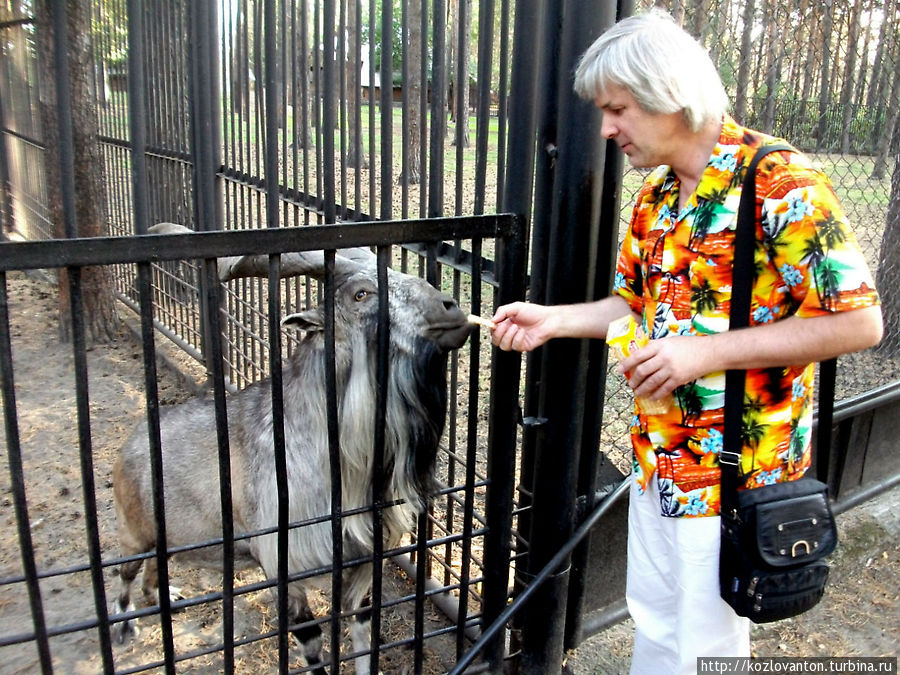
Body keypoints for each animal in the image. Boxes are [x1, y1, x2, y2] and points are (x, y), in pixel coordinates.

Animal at [110, 224, 472, 672]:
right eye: (361, 294)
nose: (451, 310)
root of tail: (130, 445)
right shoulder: (284, 566)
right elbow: (312, 642)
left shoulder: (362, 562)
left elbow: (363, 627)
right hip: (133, 533)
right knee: (126, 574)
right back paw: (124, 628)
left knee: (152, 572)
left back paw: (166, 598)